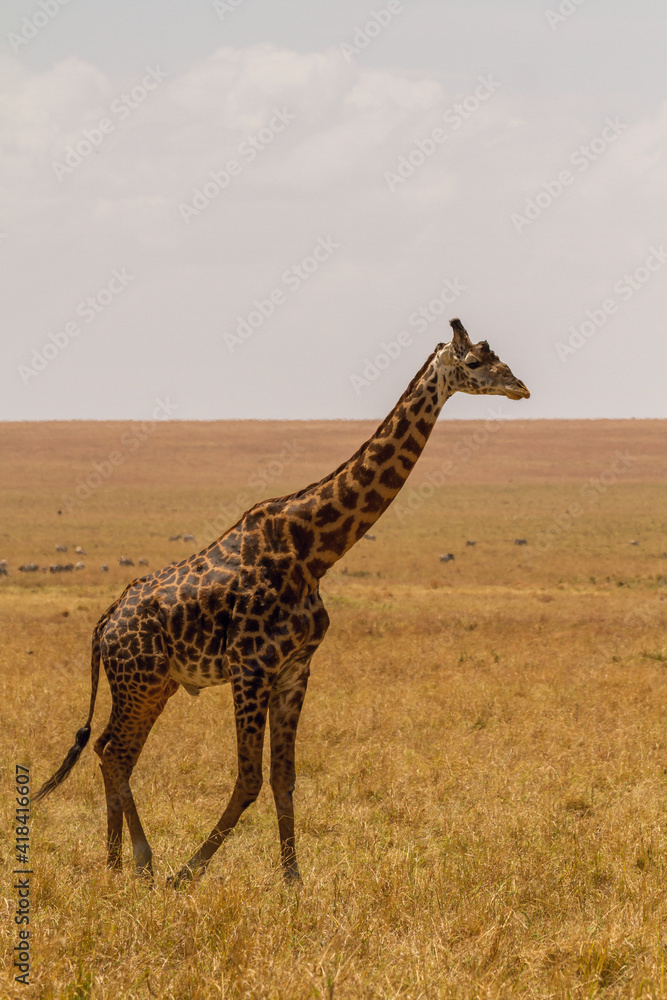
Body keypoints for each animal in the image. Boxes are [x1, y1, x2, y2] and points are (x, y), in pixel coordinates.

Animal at [34, 318, 529, 886]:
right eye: (473, 362)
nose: (519, 386)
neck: (314, 548)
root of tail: (103, 625)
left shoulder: (295, 670)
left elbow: (283, 778)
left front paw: (292, 879)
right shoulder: (251, 667)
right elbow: (249, 778)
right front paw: (190, 872)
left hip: (154, 684)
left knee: (109, 750)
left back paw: (118, 863)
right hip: (140, 682)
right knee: (114, 751)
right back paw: (141, 860)